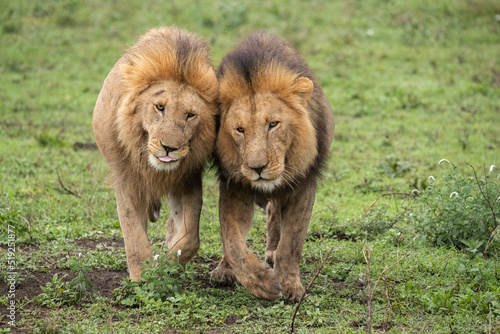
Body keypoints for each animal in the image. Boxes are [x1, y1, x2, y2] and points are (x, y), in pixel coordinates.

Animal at [94, 26, 219, 282]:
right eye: (159, 107)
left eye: (191, 115)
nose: (169, 148)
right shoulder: (127, 178)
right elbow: (134, 237)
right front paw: (142, 280)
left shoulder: (188, 178)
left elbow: (190, 238)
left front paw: (164, 268)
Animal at [212, 32, 334, 302]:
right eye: (240, 130)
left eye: (273, 124)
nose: (257, 168)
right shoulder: (234, 187)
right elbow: (232, 242)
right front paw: (262, 283)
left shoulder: (303, 185)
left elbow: (291, 243)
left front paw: (290, 286)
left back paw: (272, 255)